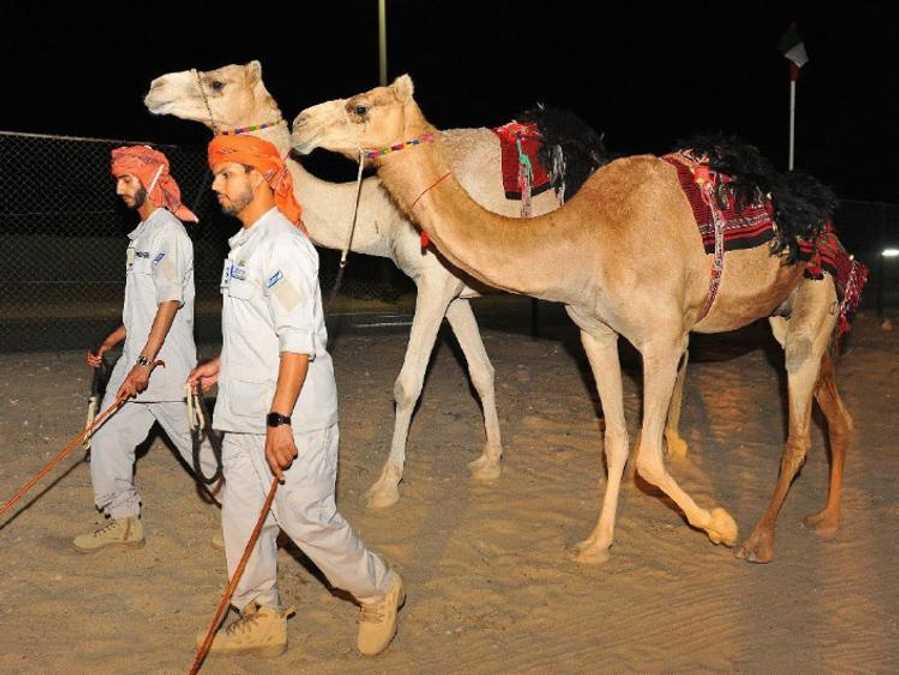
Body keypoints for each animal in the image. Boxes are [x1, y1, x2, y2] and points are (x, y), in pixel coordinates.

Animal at [142, 62, 688, 512]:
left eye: (217, 82)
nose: (155, 87)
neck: (382, 211)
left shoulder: (433, 284)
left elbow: (407, 386)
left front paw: (386, 485)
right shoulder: (455, 293)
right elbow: (482, 373)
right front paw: (490, 460)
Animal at [292, 75, 856, 564]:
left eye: (359, 107)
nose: (299, 122)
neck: (592, 233)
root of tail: (826, 223)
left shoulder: (660, 340)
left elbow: (646, 457)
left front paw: (719, 524)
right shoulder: (594, 331)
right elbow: (614, 439)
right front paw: (596, 543)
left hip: (812, 305)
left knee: (797, 435)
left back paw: (758, 539)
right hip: (791, 315)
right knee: (836, 414)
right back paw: (826, 518)